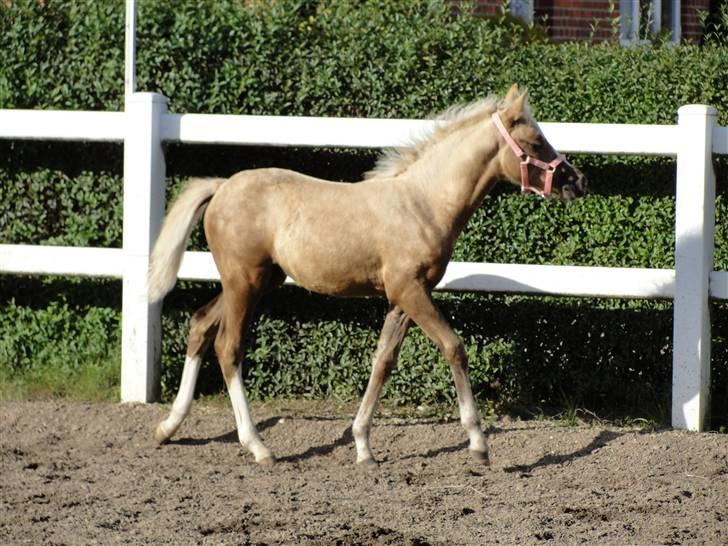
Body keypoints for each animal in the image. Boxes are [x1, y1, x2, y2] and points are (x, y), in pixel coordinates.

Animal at [148, 87, 584, 466]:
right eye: (535, 142)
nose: (577, 181)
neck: (424, 203)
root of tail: (222, 187)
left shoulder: (403, 298)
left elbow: (383, 360)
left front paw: (362, 447)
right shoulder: (410, 291)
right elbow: (453, 347)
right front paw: (478, 443)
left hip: (255, 281)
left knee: (200, 325)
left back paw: (168, 427)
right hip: (244, 282)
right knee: (228, 347)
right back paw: (257, 446)